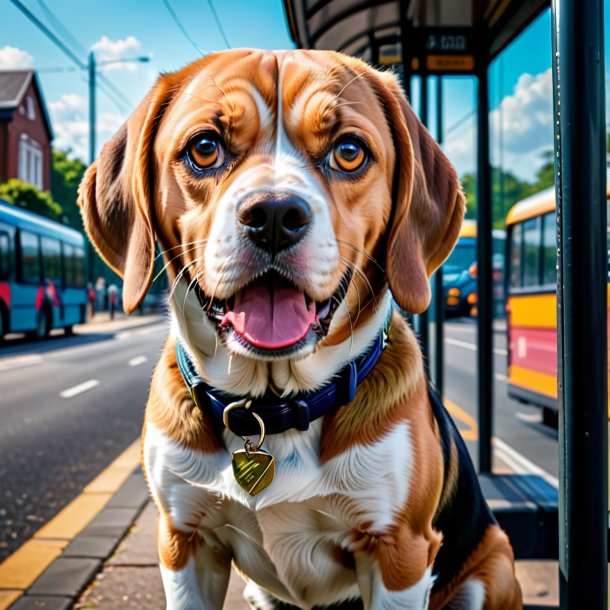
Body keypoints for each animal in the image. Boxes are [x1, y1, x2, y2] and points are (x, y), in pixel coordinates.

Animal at [78, 48, 520, 608]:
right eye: (204, 147)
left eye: (349, 152)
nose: (272, 215)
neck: (272, 408)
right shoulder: (182, 541)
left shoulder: (401, 554)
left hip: (494, 566)